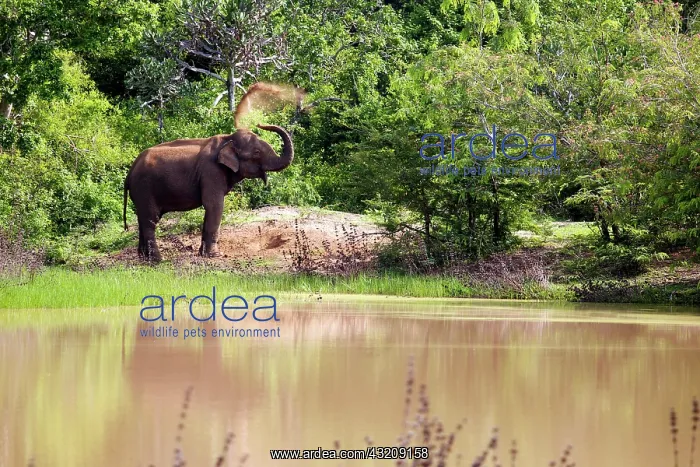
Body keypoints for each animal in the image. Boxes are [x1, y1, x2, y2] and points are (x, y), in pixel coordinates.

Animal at [122, 124, 293, 262]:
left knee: (143, 219)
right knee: (150, 219)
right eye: (256, 152)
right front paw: (215, 256)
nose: (260, 124)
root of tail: (130, 172)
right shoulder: (211, 172)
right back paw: (157, 260)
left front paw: (204, 254)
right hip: (144, 188)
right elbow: (214, 205)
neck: (227, 139)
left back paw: (143, 257)